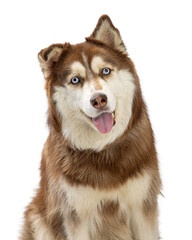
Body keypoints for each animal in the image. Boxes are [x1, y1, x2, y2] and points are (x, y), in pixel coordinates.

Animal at [20, 15, 161, 240]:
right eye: (75, 80)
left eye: (105, 71)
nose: (99, 100)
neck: (102, 150)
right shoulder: (75, 214)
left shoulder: (142, 205)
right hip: (38, 217)